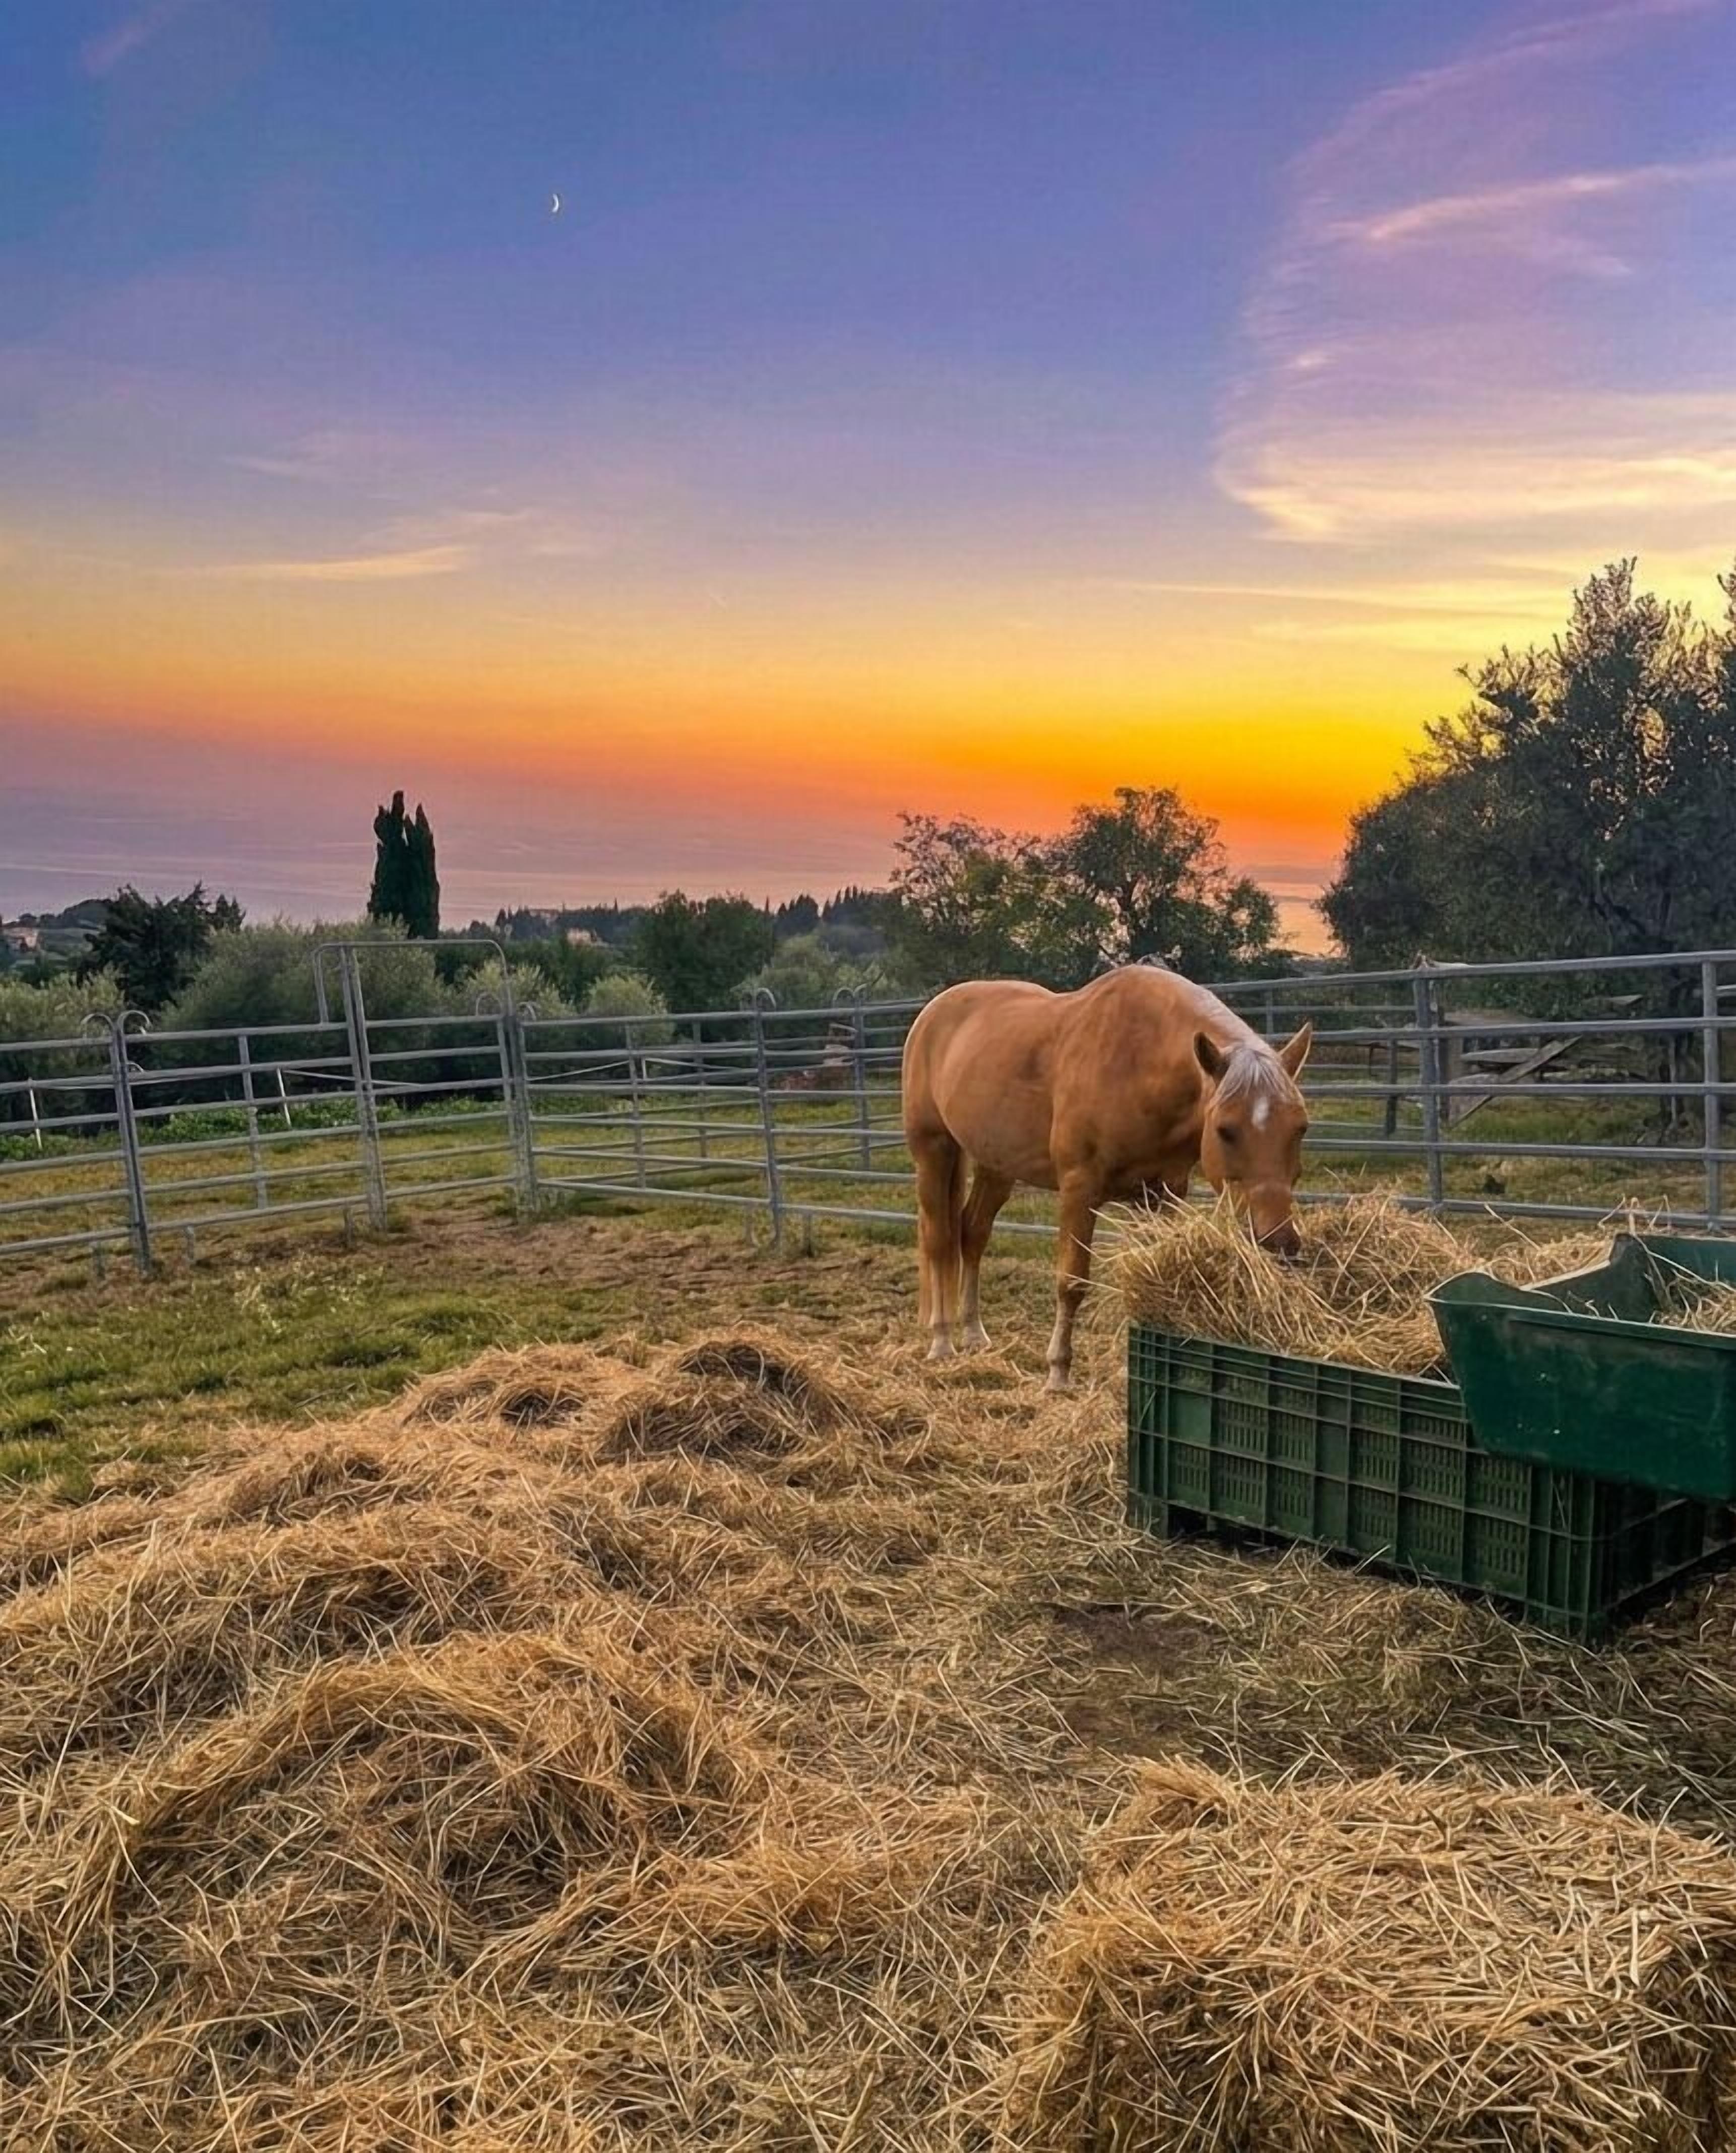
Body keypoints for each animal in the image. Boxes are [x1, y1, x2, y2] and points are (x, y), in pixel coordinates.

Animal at [900, 967, 1311, 1389]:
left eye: (1300, 1128)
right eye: (1226, 1130)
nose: (1279, 1242)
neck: (1138, 1061)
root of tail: (931, 1014)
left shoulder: (1164, 1193)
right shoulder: (1079, 1191)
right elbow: (1072, 1282)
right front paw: (1058, 1373)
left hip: (996, 1165)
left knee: (973, 1234)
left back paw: (974, 1333)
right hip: (934, 1149)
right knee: (940, 1239)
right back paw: (942, 1341)